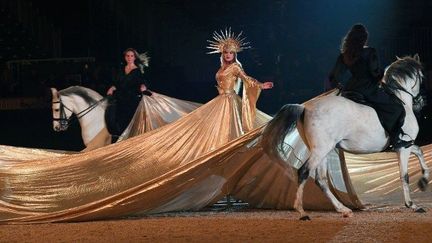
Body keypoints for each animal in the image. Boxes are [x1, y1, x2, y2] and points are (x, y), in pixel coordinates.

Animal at [264, 54, 428, 218]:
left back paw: (342, 209)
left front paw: (424, 182)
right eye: (422, 76)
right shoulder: (403, 147)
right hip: (321, 150)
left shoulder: (404, 145)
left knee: (320, 180)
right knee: (304, 172)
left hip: (325, 150)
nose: (421, 102)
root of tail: (304, 107)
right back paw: (301, 211)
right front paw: (412, 205)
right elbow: (404, 175)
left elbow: (419, 151)